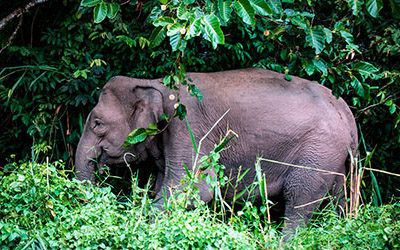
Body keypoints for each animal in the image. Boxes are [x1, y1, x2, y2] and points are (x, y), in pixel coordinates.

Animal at [76, 67, 360, 233]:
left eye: (97, 123)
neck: (154, 83)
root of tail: (347, 113)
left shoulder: (189, 126)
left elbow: (195, 189)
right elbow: (166, 185)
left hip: (318, 152)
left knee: (299, 200)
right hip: (333, 159)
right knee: (337, 200)